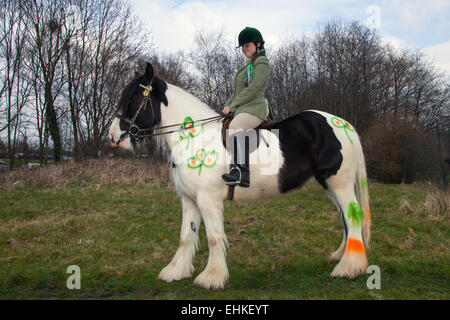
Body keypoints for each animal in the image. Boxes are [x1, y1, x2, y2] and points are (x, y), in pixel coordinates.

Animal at [110, 62, 372, 290]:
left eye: (133, 98)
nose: (113, 137)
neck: (195, 137)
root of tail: (343, 124)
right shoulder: (190, 199)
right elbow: (186, 236)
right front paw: (175, 272)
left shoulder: (208, 199)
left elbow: (214, 237)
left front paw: (211, 278)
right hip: (330, 184)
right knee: (346, 218)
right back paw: (341, 256)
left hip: (340, 183)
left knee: (353, 216)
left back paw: (348, 268)